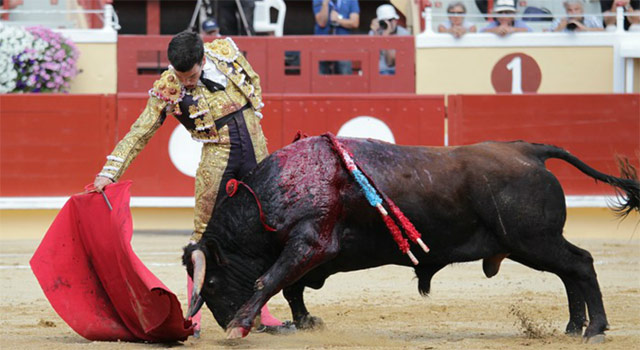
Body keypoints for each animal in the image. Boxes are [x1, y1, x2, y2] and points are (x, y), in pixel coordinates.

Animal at [182, 137, 636, 342]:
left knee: (580, 263)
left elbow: (271, 279)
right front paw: (306, 321)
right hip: (534, 243)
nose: (221, 320)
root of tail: (529, 150)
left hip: (534, 239)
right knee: (569, 271)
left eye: (213, 284)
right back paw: (573, 326)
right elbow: (291, 286)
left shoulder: (311, 243)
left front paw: (239, 325)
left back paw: (595, 327)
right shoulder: (309, 251)